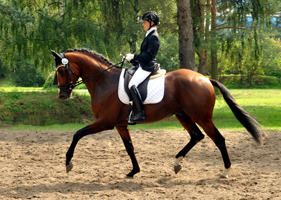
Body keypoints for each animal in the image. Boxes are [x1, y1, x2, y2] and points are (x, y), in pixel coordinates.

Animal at [50, 48, 266, 178]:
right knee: (196, 136)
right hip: (183, 115)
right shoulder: (120, 124)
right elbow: (129, 147)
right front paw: (134, 171)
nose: (62, 95)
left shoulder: (106, 122)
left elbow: (77, 134)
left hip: (201, 117)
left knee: (218, 139)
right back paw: (177, 162)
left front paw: (68, 162)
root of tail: (205, 78)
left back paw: (225, 171)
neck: (104, 81)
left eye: (61, 71)